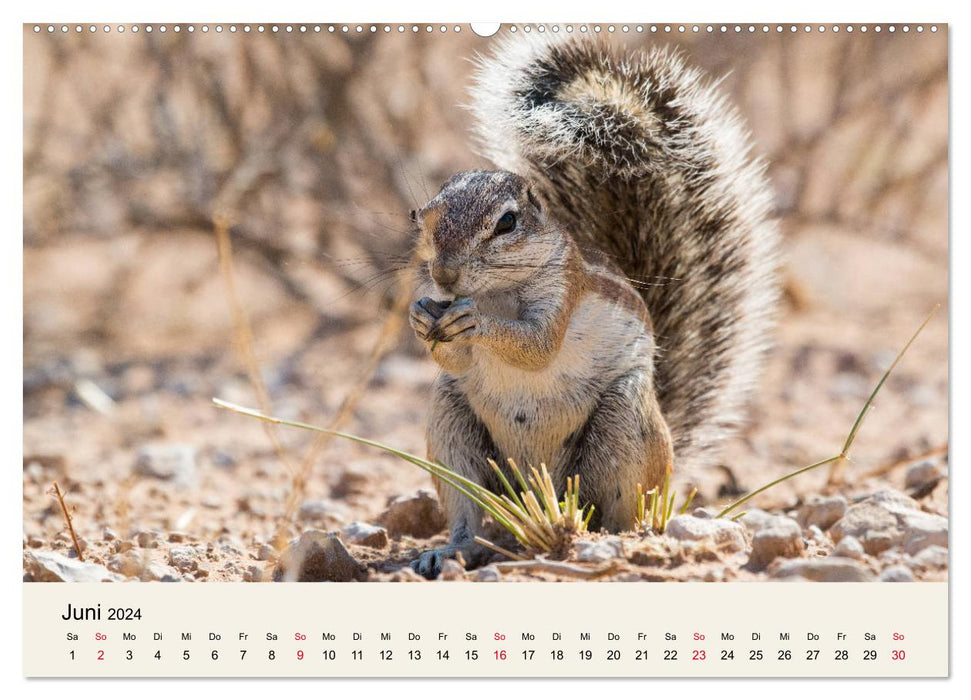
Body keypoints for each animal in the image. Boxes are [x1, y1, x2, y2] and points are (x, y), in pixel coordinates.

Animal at [406, 34, 780, 580]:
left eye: (507, 223)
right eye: (422, 216)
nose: (445, 276)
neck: (498, 291)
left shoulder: (564, 290)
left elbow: (537, 346)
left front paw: (477, 321)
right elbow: (452, 355)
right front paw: (420, 317)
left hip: (622, 424)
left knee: (619, 510)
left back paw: (617, 541)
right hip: (451, 426)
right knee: (468, 510)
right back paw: (451, 550)